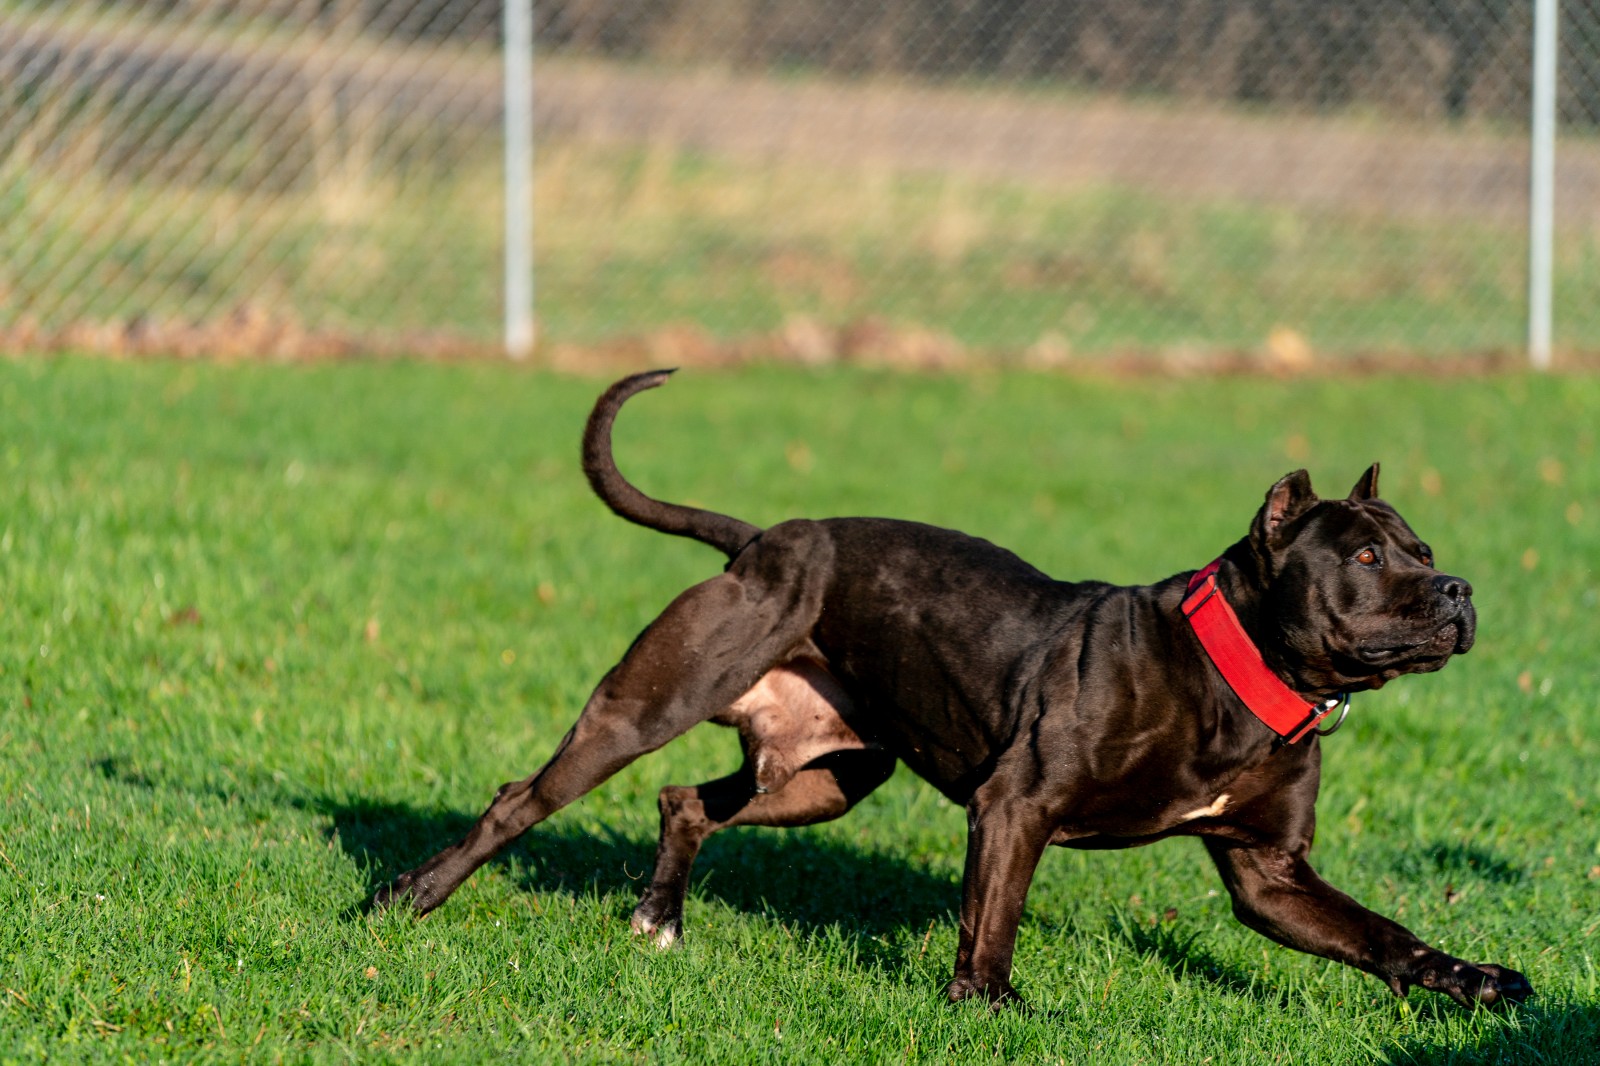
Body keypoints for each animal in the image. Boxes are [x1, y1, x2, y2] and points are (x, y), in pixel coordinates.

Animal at [368, 369, 1529, 1011]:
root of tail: (762, 542)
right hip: (642, 707)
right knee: (524, 798)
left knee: (687, 800)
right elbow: (993, 914)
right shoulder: (1015, 808)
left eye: (1425, 549)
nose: (1462, 589)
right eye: (1367, 559)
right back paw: (406, 898)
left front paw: (1473, 980)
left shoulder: (1270, 875)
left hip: (828, 776)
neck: (1236, 673)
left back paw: (657, 919)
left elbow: (1382, 934)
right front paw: (991, 1003)